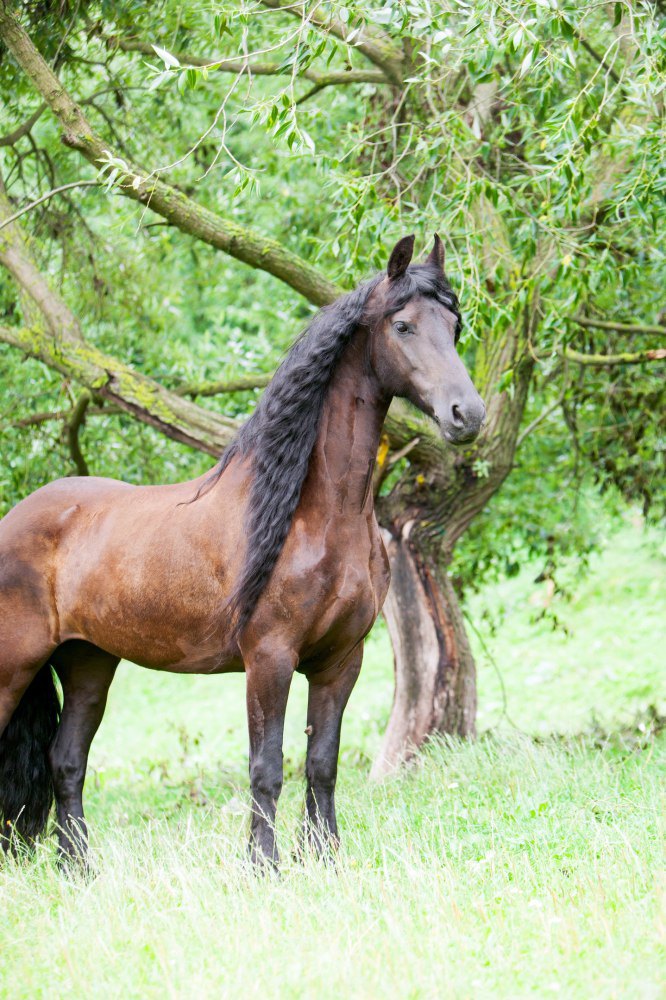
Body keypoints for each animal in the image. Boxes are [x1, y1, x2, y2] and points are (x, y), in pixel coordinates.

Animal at [2, 236, 486, 868]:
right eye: (402, 325)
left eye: (454, 325)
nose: (466, 415)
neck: (311, 517)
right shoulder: (269, 658)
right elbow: (266, 769)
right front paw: (264, 865)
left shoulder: (341, 661)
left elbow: (321, 764)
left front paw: (325, 857)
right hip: (15, 665)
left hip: (87, 663)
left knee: (66, 762)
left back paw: (78, 870)